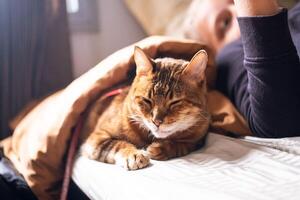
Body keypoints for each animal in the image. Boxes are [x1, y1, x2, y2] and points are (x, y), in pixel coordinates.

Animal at [81, 47, 210, 170]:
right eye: (147, 100)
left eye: (175, 102)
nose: (157, 121)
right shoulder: (97, 138)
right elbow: (117, 144)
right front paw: (134, 155)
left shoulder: (198, 139)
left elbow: (181, 145)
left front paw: (162, 148)